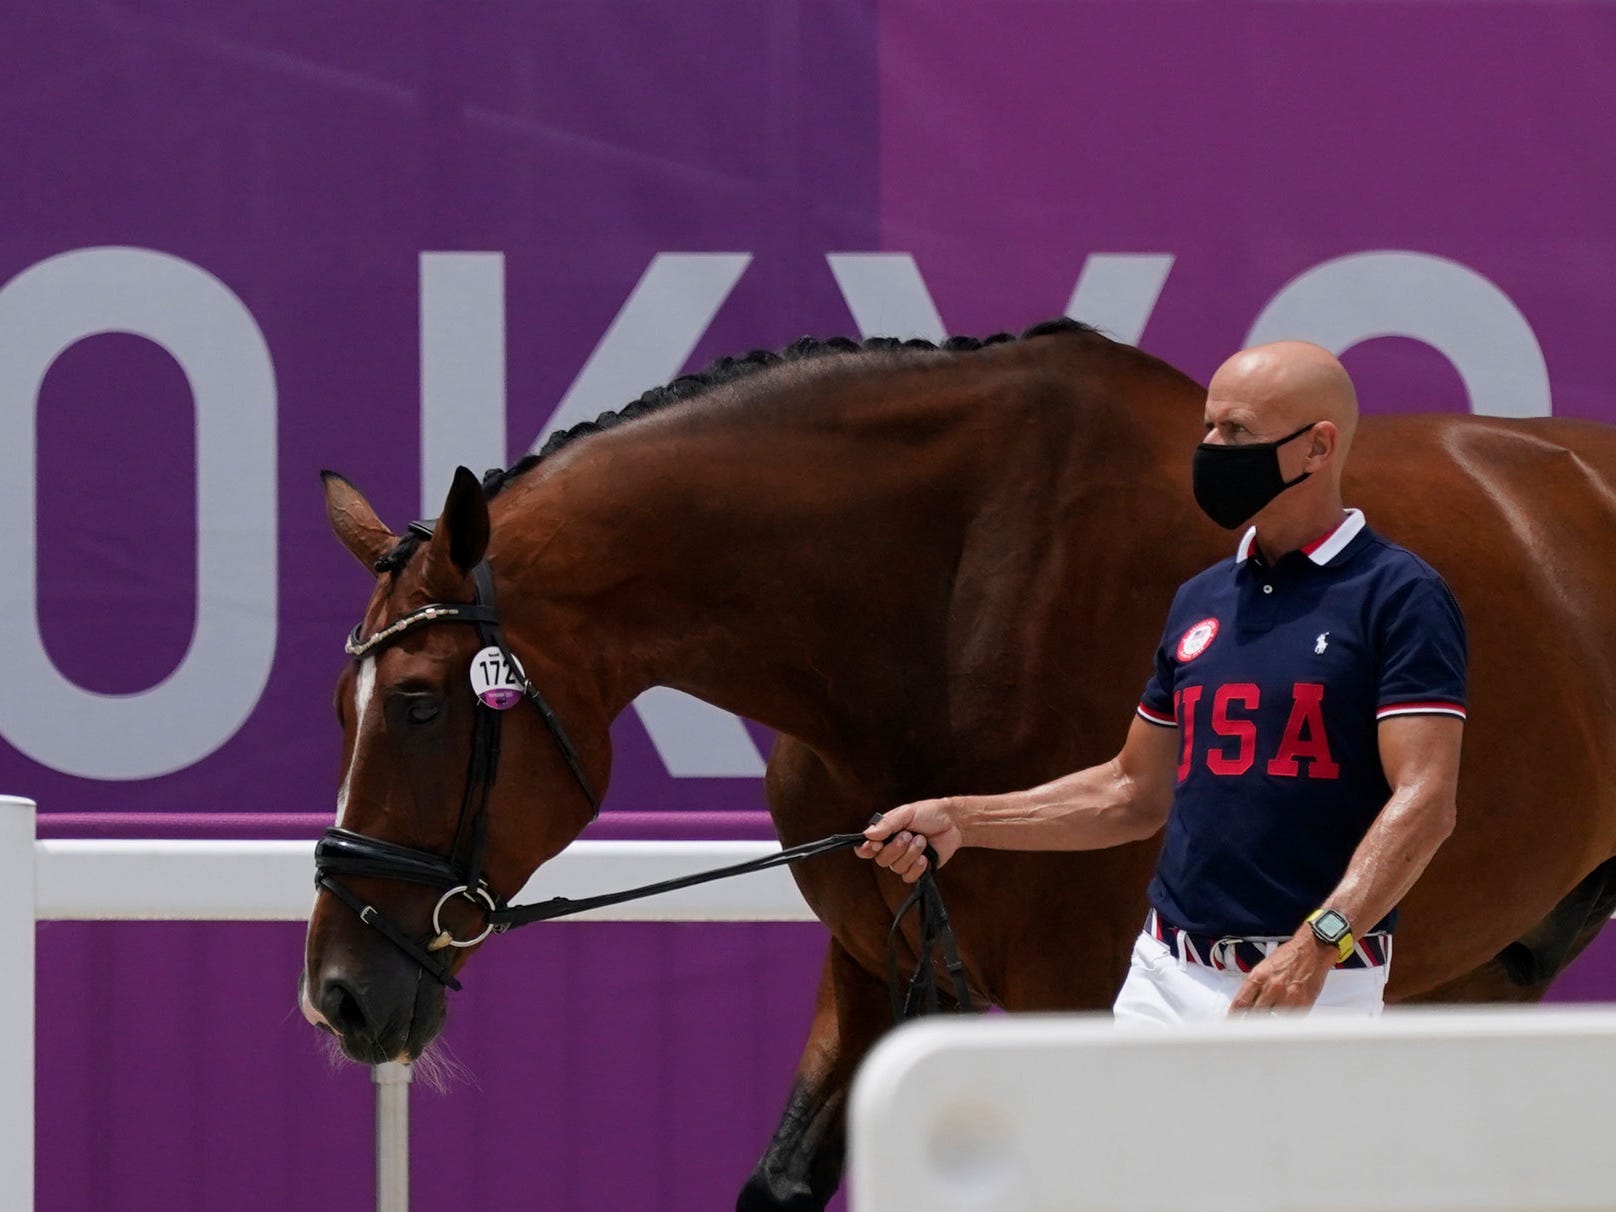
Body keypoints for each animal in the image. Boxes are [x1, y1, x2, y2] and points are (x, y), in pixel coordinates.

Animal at [300, 318, 1616, 1208]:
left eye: (417, 704)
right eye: (343, 704)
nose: (339, 994)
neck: (943, 604)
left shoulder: (1068, 993)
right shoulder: (872, 965)